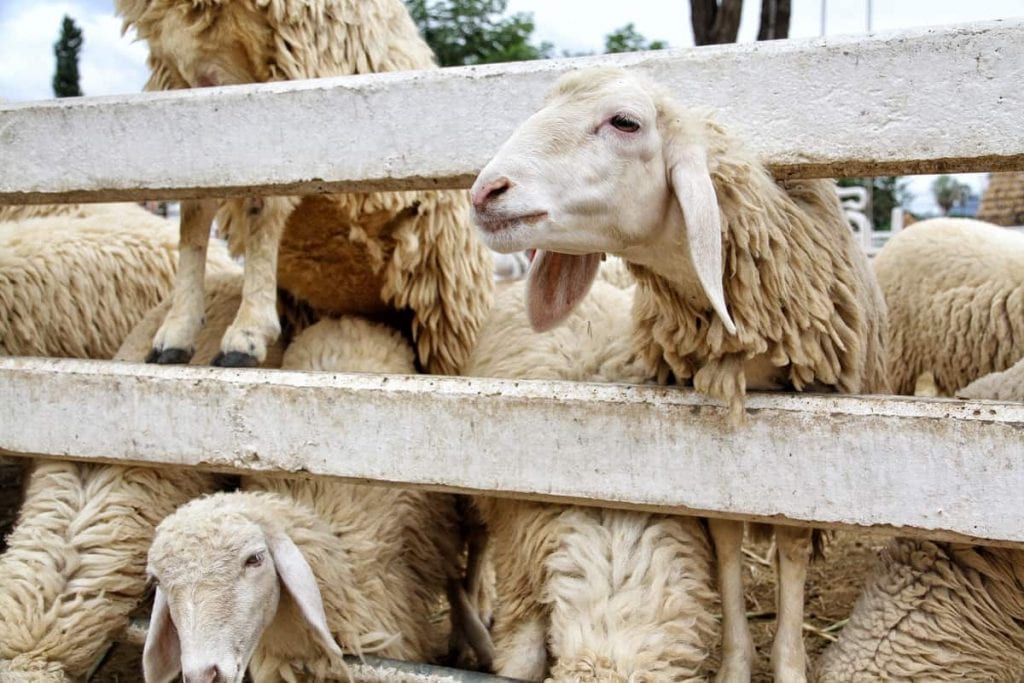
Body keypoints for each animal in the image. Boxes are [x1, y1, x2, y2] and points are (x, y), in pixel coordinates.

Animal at [115, 0, 494, 372]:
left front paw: (247, 333)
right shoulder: (182, 88)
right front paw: (175, 333)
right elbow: (193, 214)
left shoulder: (290, 69)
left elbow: (263, 204)